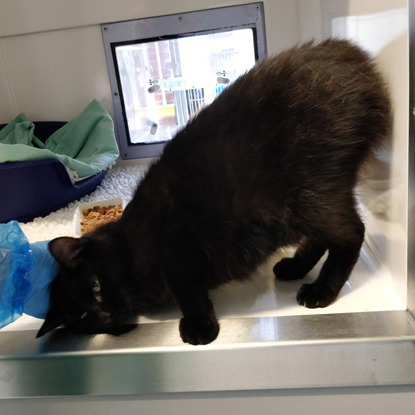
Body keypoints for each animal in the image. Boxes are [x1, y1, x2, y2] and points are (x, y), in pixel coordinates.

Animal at [37, 38, 392, 344]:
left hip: (308, 193)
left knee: (351, 233)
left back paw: (322, 290)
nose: (105, 314)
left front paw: (199, 326)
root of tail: (347, 57)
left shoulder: (179, 248)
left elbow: (188, 290)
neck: (130, 243)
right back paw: (294, 267)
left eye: (96, 284)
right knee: (324, 237)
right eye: (84, 317)